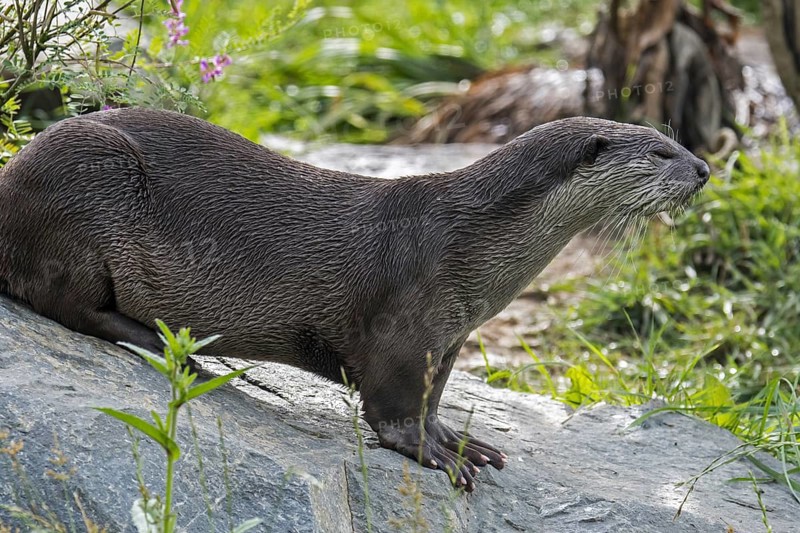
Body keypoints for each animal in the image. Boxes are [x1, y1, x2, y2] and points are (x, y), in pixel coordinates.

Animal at [0, 108, 708, 491]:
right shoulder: (406, 322)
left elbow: (432, 398)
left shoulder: (450, 338)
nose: (703, 168)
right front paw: (435, 455)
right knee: (63, 301)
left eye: (678, 141)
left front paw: (459, 439)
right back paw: (167, 346)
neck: (470, 242)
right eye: (661, 152)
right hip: (82, 193)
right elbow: (390, 409)